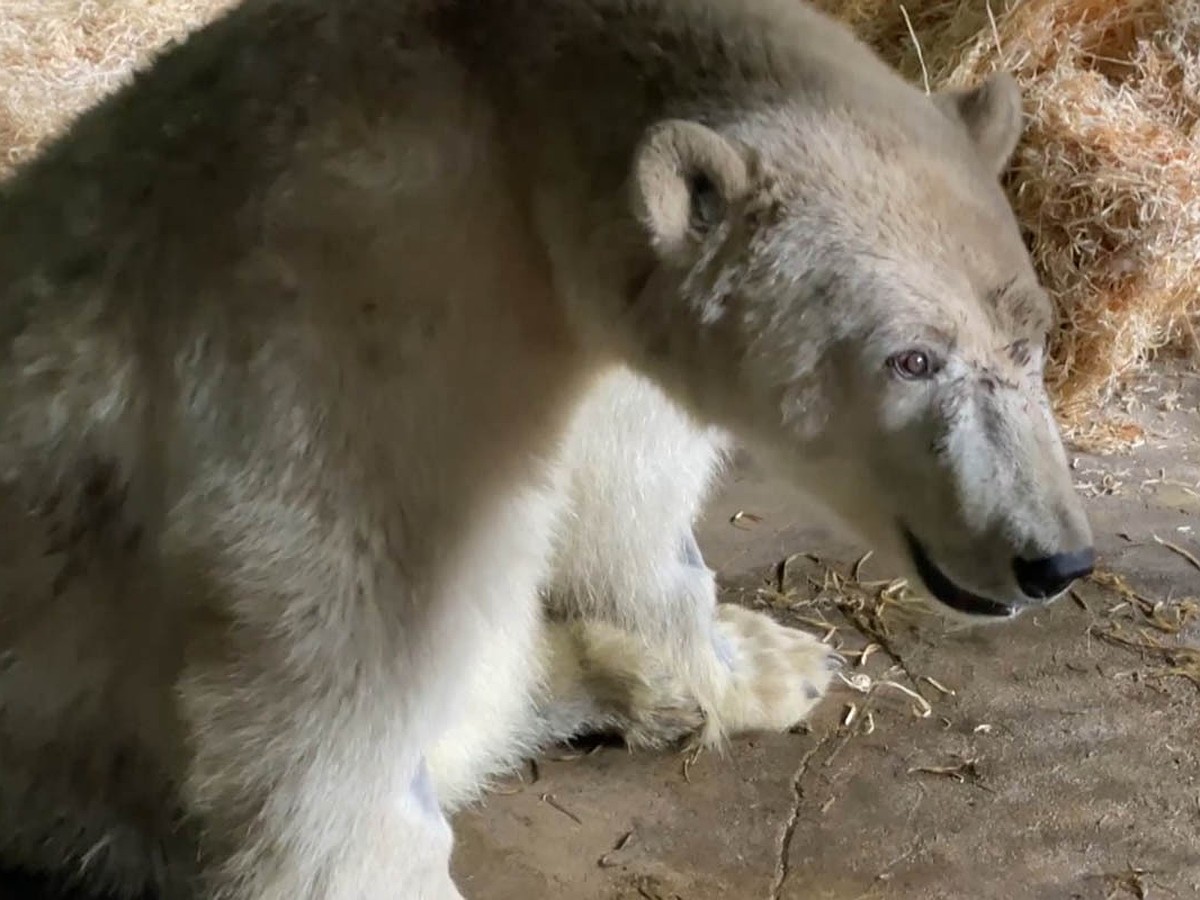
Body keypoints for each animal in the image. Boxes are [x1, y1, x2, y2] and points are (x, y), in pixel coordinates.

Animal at [0, 0, 1089, 897]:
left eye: (1032, 341)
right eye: (912, 358)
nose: (1054, 557)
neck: (507, 116)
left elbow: (629, 511)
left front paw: (751, 661)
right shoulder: (356, 323)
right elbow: (332, 682)